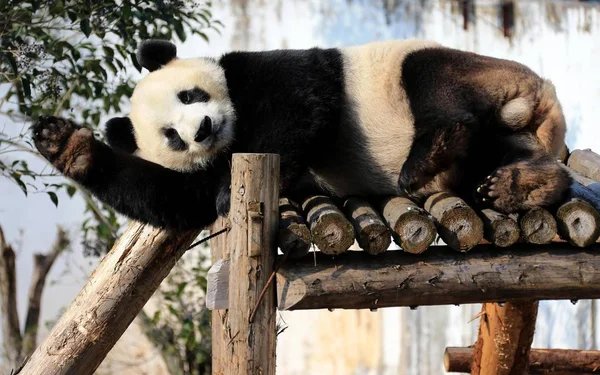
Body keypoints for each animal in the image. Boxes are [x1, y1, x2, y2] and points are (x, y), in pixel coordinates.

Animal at [31, 39, 568, 232]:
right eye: (173, 138)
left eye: (189, 96)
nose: (203, 128)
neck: (235, 125)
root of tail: (539, 99)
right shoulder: (207, 162)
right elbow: (180, 199)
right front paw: (65, 145)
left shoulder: (256, 72)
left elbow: (302, 99)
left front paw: (228, 193)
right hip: (504, 127)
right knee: (506, 160)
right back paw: (520, 185)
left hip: (471, 70)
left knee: (431, 79)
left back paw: (428, 159)